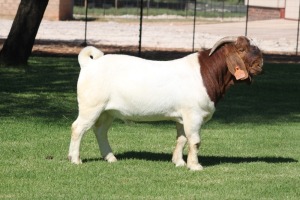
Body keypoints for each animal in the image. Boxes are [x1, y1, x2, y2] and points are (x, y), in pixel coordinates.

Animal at [68, 35, 262, 170]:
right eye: (241, 49)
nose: (261, 64)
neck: (206, 73)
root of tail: (90, 64)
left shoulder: (183, 116)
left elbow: (181, 139)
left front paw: (179, 162)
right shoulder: (194, 114)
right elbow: (195, 141)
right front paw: (195, 166)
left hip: (107, 111)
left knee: (100, 131)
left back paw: (110, 158)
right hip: (91, 106)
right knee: (78, 128)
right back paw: (75, 159)